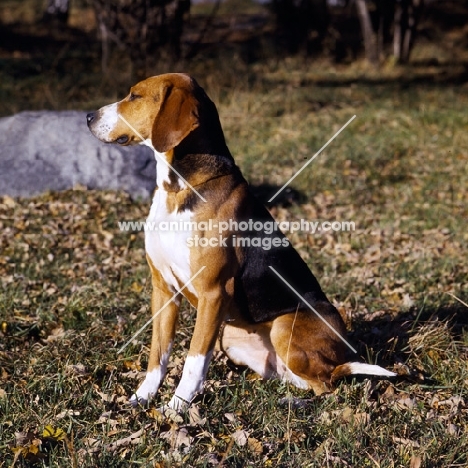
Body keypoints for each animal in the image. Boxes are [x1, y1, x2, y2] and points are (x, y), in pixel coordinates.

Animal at [86, 71, 394, 412]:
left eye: (135, 96)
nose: (88, 116)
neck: (180, 189)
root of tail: (343, 355)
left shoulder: (212, 293)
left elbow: (194, 359)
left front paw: (177, 407)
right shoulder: (163, 288)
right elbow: (158, 355)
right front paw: (142, 398)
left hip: (285, 326)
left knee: (327, 385)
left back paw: (294, 402)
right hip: (231, 338)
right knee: (294, 377)